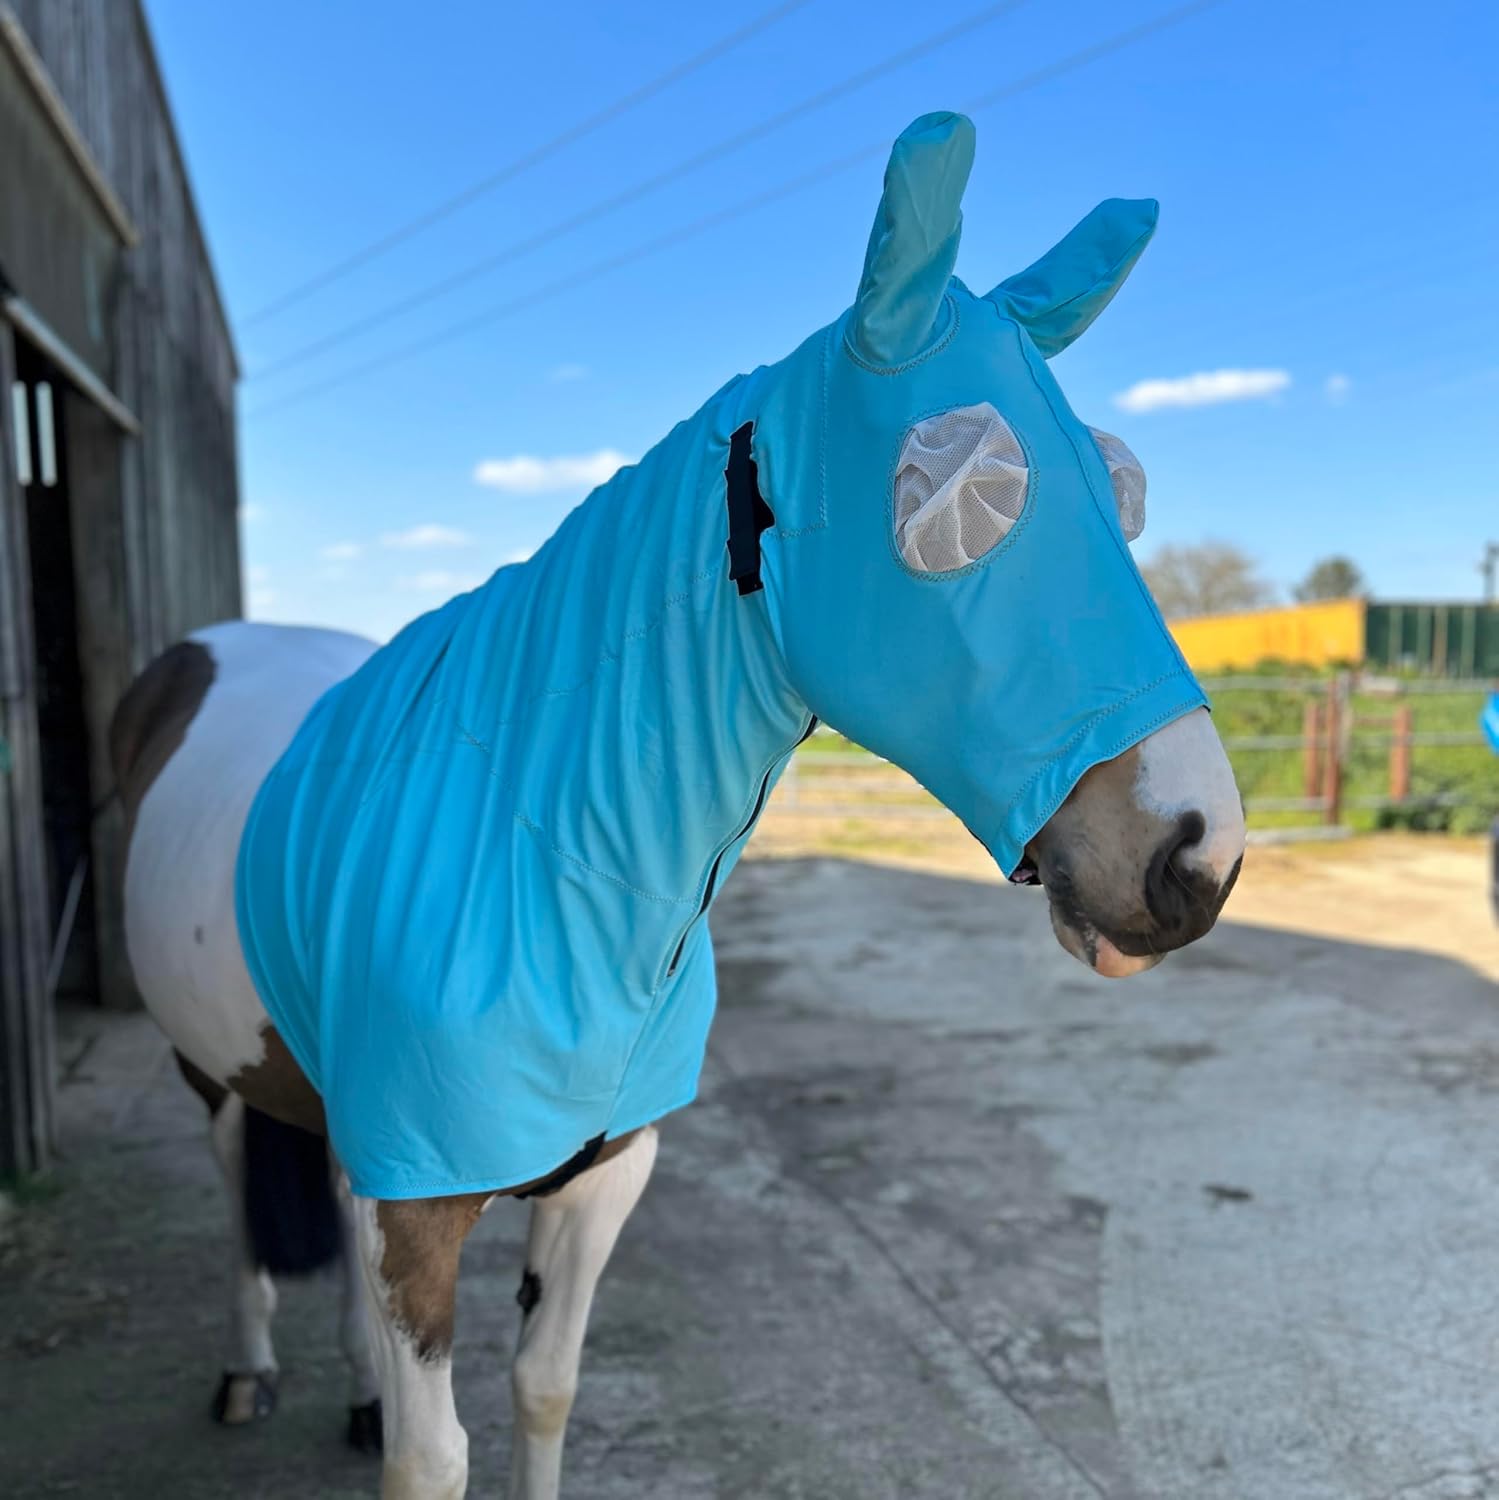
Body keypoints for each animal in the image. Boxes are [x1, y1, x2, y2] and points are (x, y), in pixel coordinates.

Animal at [112, 112, 1246, 1499]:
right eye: (960, 500)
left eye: (1121, 491)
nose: (1196, 855)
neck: (544, 849)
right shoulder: (418, 1200)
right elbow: (437, 1460)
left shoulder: (604, 1172)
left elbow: (544, 1389)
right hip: (212, 1074)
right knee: (237, 1194)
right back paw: (249, 1373)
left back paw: (352, 1389)